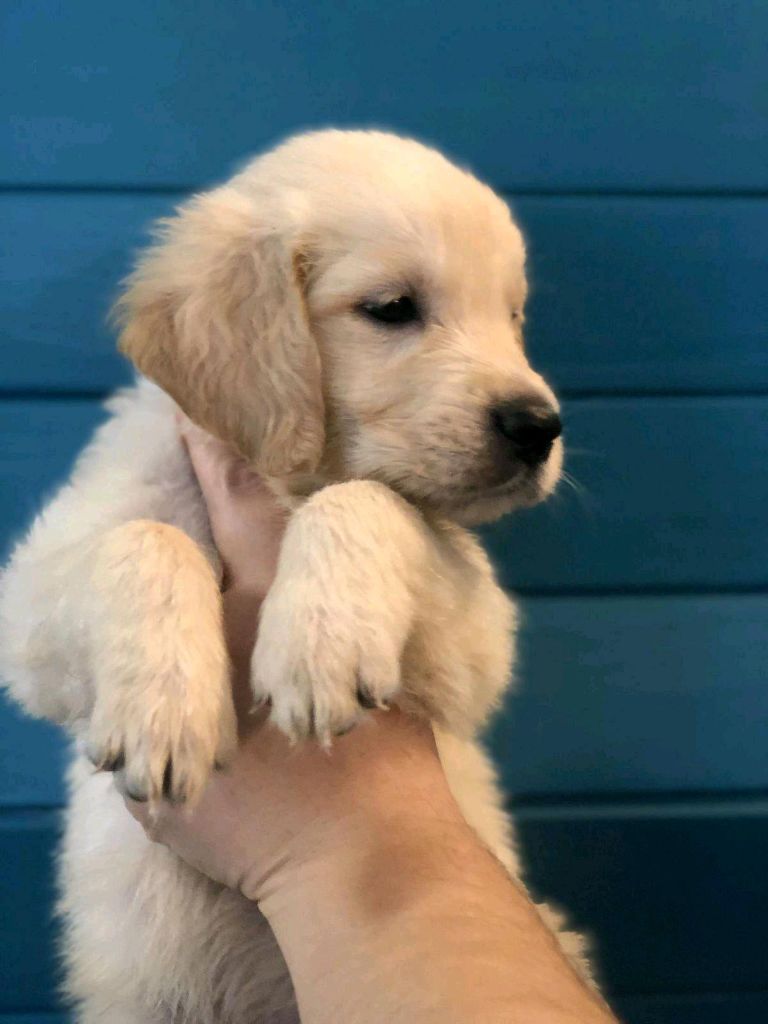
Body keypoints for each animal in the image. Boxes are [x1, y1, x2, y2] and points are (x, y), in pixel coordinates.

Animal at [0, 130, 589, 1024]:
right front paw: (165, 708)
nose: (540, 428)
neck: (282, 481)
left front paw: (318, 646)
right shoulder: (35, 600)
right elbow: (143, 536)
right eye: (392, 308)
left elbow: (370, 497)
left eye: (512, 316)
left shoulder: (478, 641)